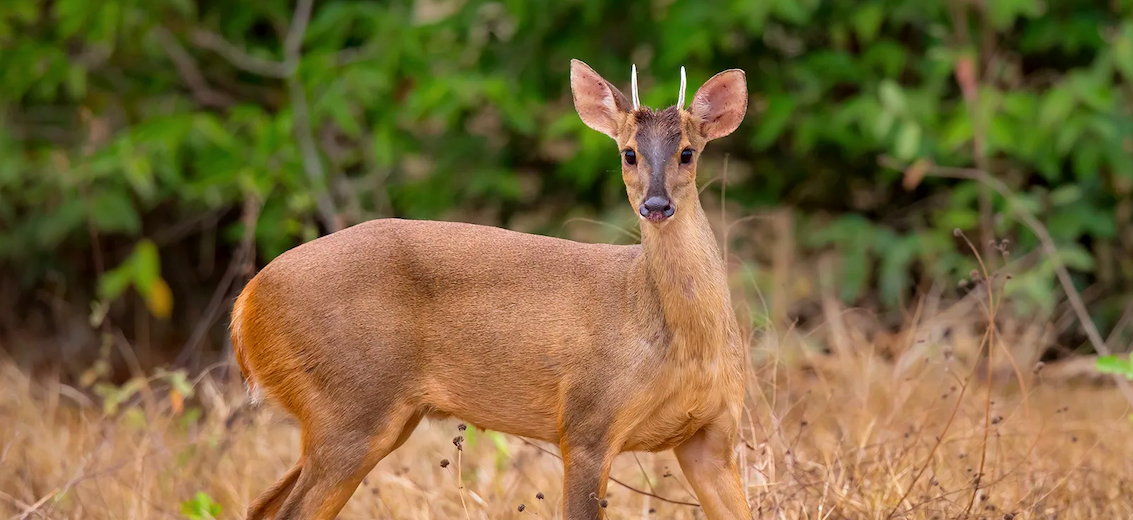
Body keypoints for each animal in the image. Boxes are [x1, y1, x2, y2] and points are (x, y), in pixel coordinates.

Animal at [232, 58, 752, 518]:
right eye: (628, 153)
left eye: (688, 151)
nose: (656, 205)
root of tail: (246, 302)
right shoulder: (587, 422)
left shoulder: (713, 438)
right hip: (348, 404)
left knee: (261, 505)